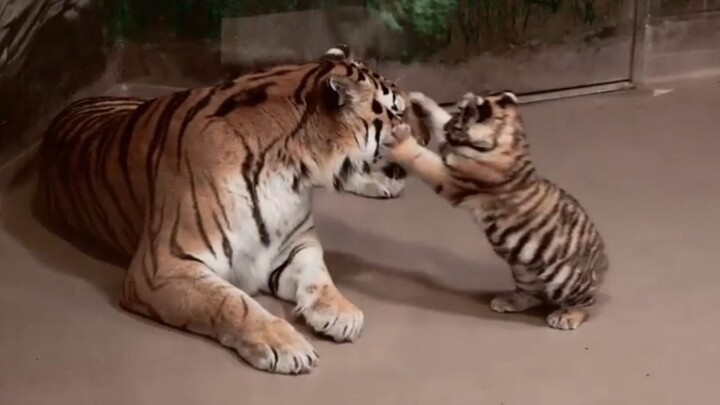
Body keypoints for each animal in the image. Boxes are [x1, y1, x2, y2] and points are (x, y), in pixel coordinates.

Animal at [33, 44, 430, 374]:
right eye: (397, 112)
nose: (426, 140)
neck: (294, 173)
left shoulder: (296, 244)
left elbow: (320, 277)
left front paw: (342, 312)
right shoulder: (161, 268)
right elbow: (231, 303)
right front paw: (286, 344)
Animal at [382, 91, 608, 330]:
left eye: (460, 117)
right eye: (456, 112)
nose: (448, 127)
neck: (510, 137)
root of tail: (602, 264)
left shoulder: (452, 177)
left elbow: (421, 158)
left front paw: (401, 141)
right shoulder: (452, 151)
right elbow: (438, 115)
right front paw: (421, 100)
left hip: (562, 280)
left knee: (584, 302)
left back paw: (567, 316)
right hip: (524, 272)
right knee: (532, 295)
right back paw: (507, 302)